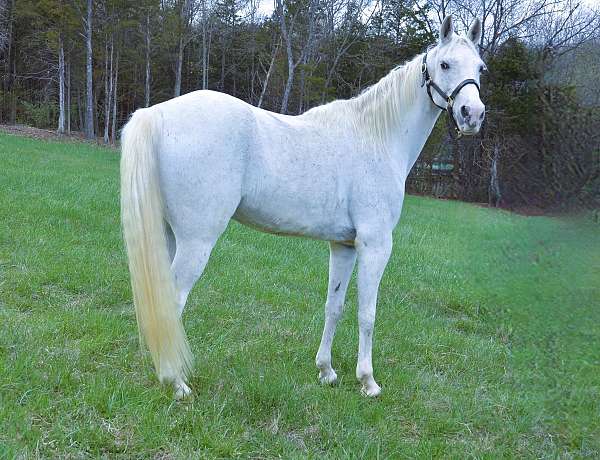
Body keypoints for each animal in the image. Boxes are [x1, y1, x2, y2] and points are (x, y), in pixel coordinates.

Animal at [120, 17, 488, 398]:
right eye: (444, 64)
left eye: (480, 68)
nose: (472, 115)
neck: (376, 137)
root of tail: (156, 114)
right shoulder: (375, 244)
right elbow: (367, 313)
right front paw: (368, 381)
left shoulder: (343, 246)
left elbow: (334, 306)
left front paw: (326, 371)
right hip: (197, 241)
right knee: (172, 302)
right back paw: (176, 383)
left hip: (168, 235)